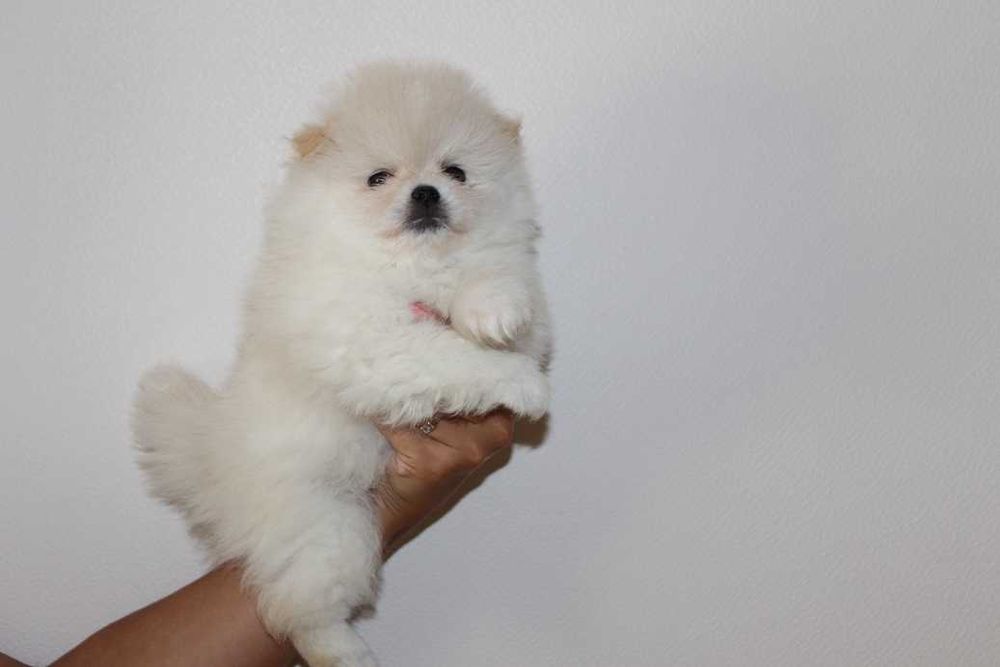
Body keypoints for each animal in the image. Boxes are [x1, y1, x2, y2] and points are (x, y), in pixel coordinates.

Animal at [133, 61, 551, 667]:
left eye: (456, 171)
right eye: (378, 178)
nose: (426, 192)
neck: (412, 266)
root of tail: (211, 458)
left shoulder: (513, 296)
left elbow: (501, 288)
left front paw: (494, 311)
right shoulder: (371, 339)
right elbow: (450, 355)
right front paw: (524, 385)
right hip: (323, 527)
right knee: (298, 610)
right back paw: (346, 652)